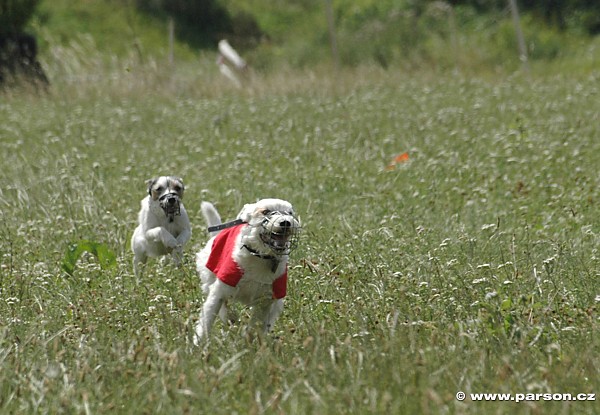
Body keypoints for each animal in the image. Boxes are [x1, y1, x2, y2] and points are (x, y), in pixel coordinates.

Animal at [195, 198, 302, 344]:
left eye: (290, 213)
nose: (286, 222)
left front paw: (249, 343)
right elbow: (208, 318)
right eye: (265, 211)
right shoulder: (220, 289)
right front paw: (198, 343)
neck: (260, 257)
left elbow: (255, 324)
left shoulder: (266, 301)